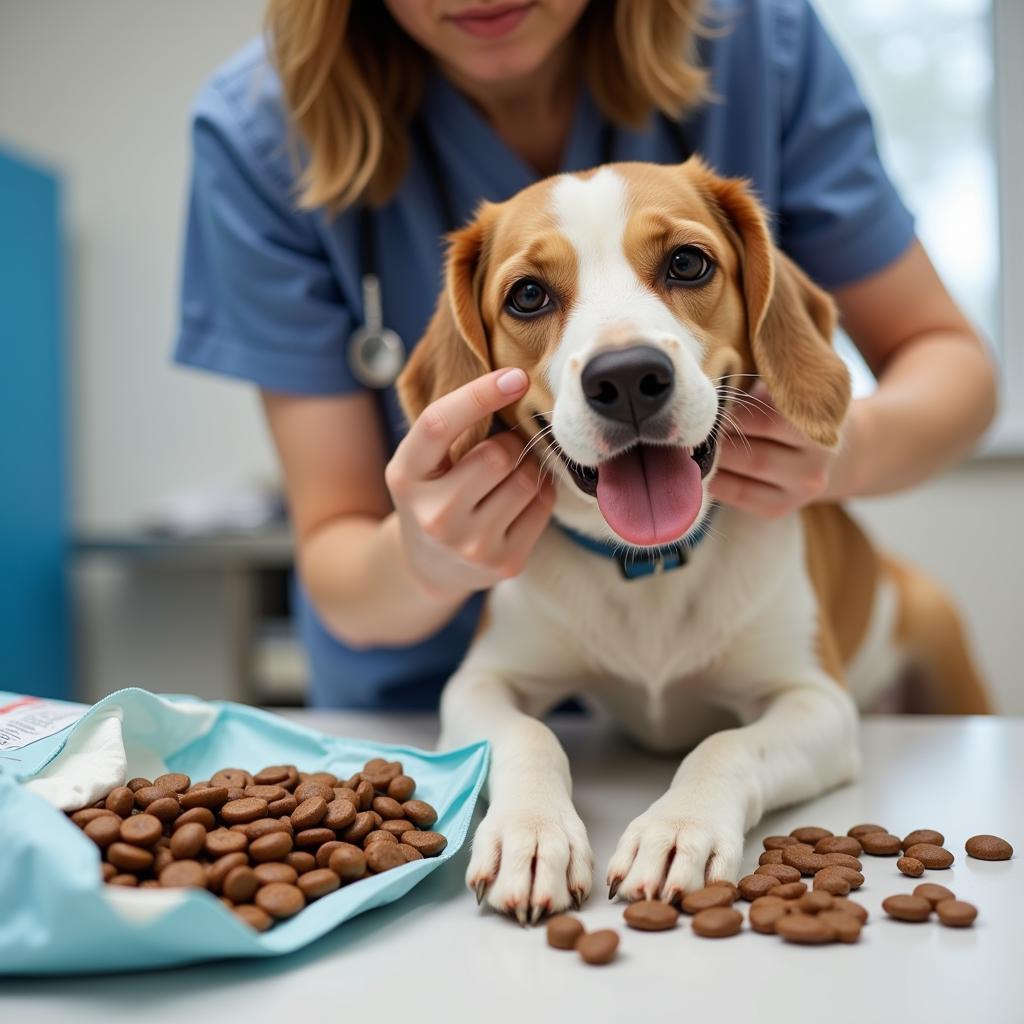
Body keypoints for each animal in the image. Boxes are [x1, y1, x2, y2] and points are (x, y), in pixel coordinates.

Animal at [395, 157, 987, 921]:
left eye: (686, 262)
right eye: (527, 295)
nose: (626, 377)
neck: (651, 566)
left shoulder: (817, 701)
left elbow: (725, 747)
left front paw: (678, 828)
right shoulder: (480, 682)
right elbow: (529, 736)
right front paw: (531, 833)